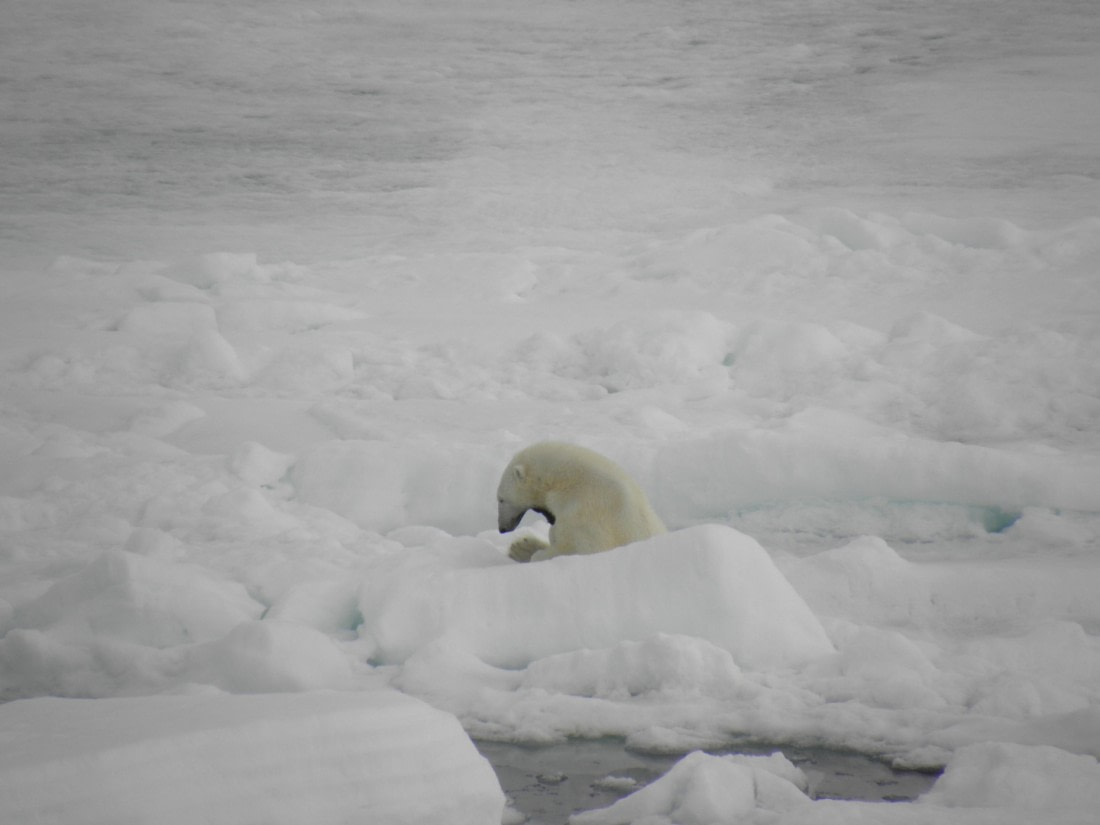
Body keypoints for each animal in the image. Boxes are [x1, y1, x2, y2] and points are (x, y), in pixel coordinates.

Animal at [496, 441, 666, 562]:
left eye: (501, 499)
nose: (502, 529)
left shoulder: (586, 509)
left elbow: (585, 547)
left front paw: (531, 551)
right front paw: (521, 546)